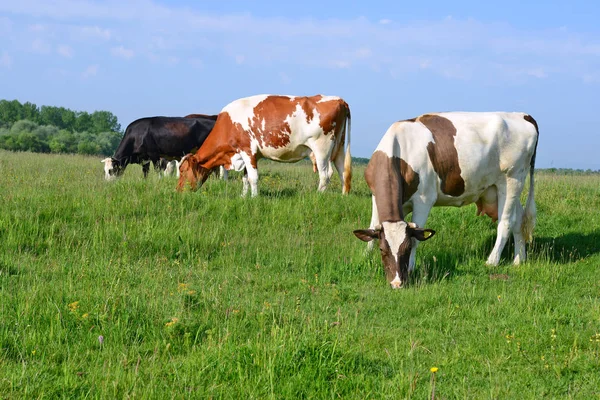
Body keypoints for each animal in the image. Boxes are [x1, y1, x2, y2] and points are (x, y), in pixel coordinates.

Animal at [176, 94, 352, 196]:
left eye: (183, 171)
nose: (178, 191)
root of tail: (339, 99)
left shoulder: (247, 150)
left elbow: (253, 178)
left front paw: (254, 198)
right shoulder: (247, 155)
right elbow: (245, 178)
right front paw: (244, 197)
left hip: (322, 148)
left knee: (325, 175)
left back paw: (318, 196)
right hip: (339, 147)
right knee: (343, 172)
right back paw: (344, 196)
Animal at [352, 111, 540, 288]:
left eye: (406, 249)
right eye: (382, 249)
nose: (397, 283)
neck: (399, 153)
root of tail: (522, 115)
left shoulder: (424, 200)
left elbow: (417, 237)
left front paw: (411, 268)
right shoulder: (375, 197)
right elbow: (372, 227)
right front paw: (365, 257)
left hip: (512, 179)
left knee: (506, 222)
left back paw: (492, 261)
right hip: (500, 189)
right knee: (518, 220)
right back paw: (519, 260)